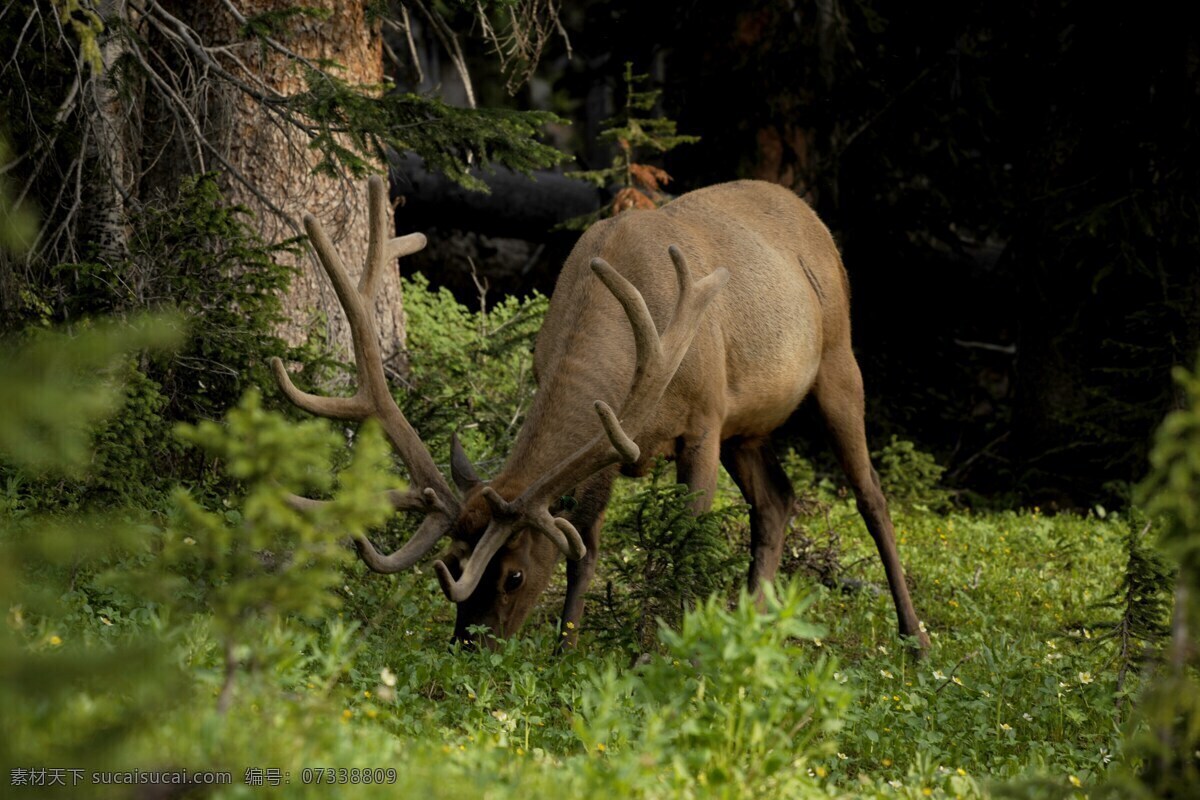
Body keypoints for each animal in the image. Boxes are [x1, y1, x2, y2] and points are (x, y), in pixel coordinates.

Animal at [272, 173, 926, 652]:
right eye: (453, 563)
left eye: (512, 574)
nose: (469, 646)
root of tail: (808, 212)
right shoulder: (614, 440)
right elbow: (585, 545)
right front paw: (565, 650)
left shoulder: (705, 420)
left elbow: (684, 543)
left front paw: (655, 651)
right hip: (749, 429)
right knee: (777, 502)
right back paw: (751, 630)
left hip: (837, 361)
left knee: (871, 497)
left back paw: (914, 637)